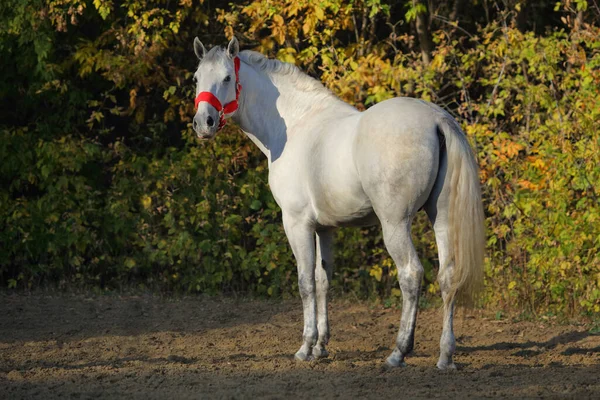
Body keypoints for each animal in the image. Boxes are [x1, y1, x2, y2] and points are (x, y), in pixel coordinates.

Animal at [192, 37, 488, 368]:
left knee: (411, 274)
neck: (295, 125)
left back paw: (398, 352)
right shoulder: (324, 228)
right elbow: (323, 281)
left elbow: (305, 282)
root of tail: (436, 119)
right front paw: (321, 347)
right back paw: (445, 355)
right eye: (196, 79)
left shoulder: (296, 223)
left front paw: (305, 347)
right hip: (442, 218)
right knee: (448, 276)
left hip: (395, 224)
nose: (204, 123)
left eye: (227, 78)